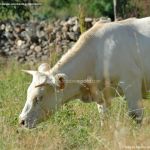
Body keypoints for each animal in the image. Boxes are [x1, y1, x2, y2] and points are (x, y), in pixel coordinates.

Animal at [19, 17, 150, 127]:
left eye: (39, 97)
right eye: (27, 93)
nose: (21, 120)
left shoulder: (131, 83)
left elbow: (136, 116)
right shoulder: (102, 96)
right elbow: (104, 118)